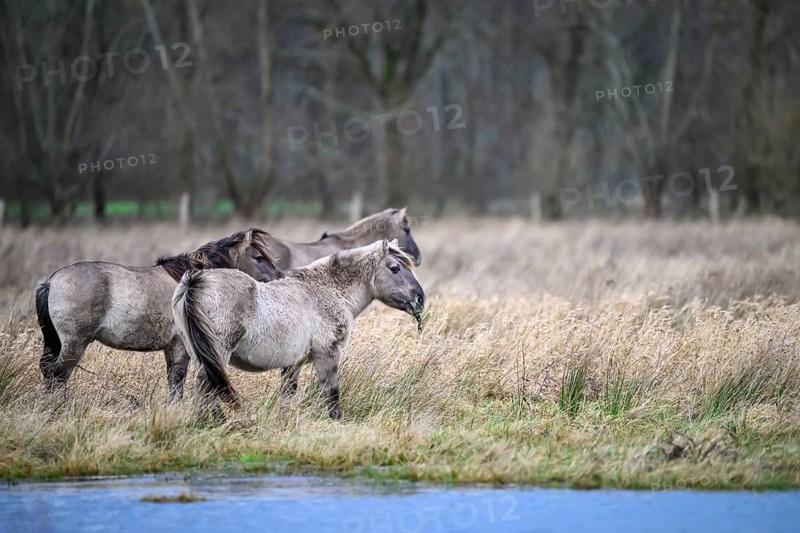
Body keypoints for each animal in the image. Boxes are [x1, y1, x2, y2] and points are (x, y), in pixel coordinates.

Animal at [35, 228, 283, 402]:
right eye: (258, 258)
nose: (281, 277)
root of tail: (50, 281)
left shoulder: (171, 348)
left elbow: (173, 383)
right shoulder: (181, 347)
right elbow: (178, 382)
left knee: (49, 371)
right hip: (75, 343)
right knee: (58, 375)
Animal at [172, 239, 425, 419]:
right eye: (394, 268)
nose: (420, 299)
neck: (327, 289)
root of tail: (195, 281)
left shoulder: (293, 364)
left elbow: (287, 395)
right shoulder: (327, 355)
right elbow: (331, 395)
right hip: (217, 353)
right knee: (206, 387)